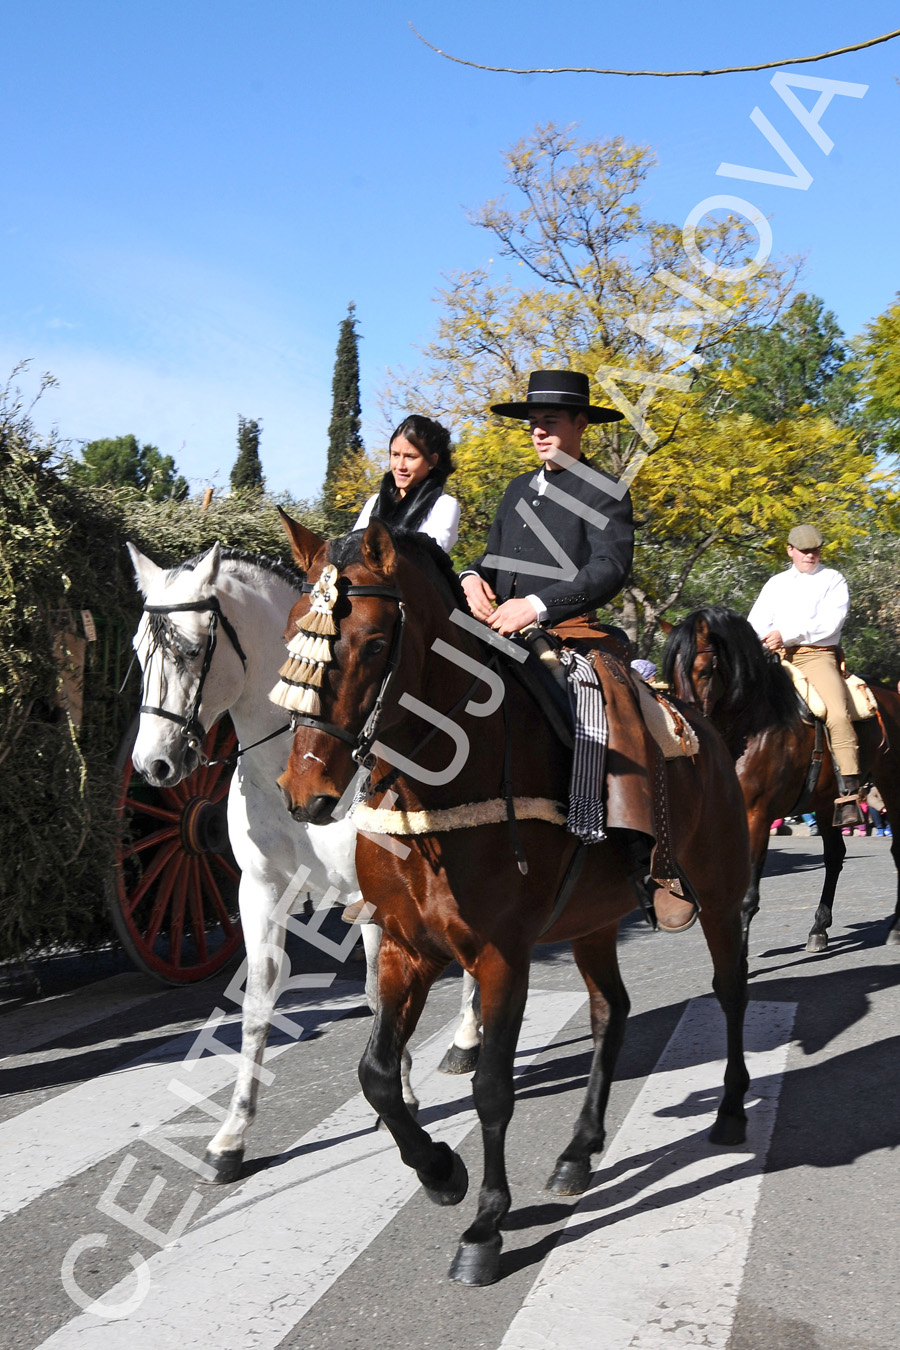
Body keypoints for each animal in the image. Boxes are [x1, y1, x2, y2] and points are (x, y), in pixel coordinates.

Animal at [276, 515, 755, 1285]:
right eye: (296, 632)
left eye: (375, 642)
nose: (305, 792)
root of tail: (700, 727)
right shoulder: (407, 947)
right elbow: (377, 1075)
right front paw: (440, 1172)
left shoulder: (502, 956)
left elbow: (493, 1089)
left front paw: (485, 1227)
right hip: (593, 922)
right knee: (610, 1011)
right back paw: (578, 1152)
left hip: (716, 891)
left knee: (731, 988)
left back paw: (732, 1110)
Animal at [661, 602, 900, 950]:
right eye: (670, 675)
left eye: (703, 671)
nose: (686, 729)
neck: (752, 725)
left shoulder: (757, 816)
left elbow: (746, 892)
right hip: (827, 802)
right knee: (834, 856)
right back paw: (819, 929)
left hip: (892, 787)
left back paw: (894, 927)